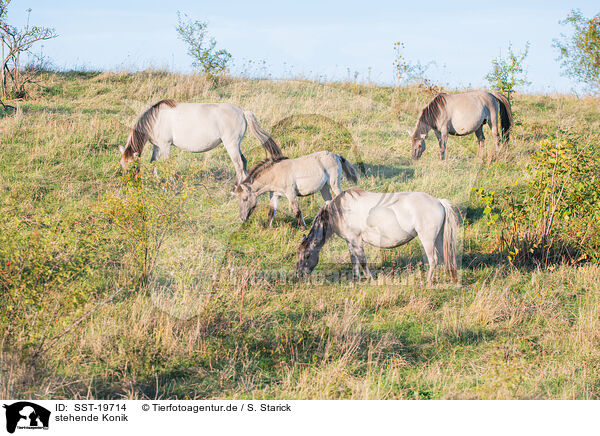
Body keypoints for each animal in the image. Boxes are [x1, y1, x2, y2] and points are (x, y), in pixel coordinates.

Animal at [120, 99, 284, 183]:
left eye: (131, 167)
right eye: (122, 166)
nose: (128, 184)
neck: (156, 118)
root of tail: (242, 112)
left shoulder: (165, 146)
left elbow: (166, 165)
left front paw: (169, 185)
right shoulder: (158, 146)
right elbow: (154, 162)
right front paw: (157, 181)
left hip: (231, 145)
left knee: (238, 166)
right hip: (236, 145)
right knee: (243, 162)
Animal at [296, 186, 460, 282]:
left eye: (307, 255)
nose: (298, 274)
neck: (340, 211)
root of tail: (439, 201)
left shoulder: (356, 240)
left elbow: (362, 260)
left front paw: (370, 279)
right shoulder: (350, 241)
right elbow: (354, 260)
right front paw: (356, 279)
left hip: (428, 239)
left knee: (433, 260)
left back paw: (428, 282)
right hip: (438, 239)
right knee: (444, 258)